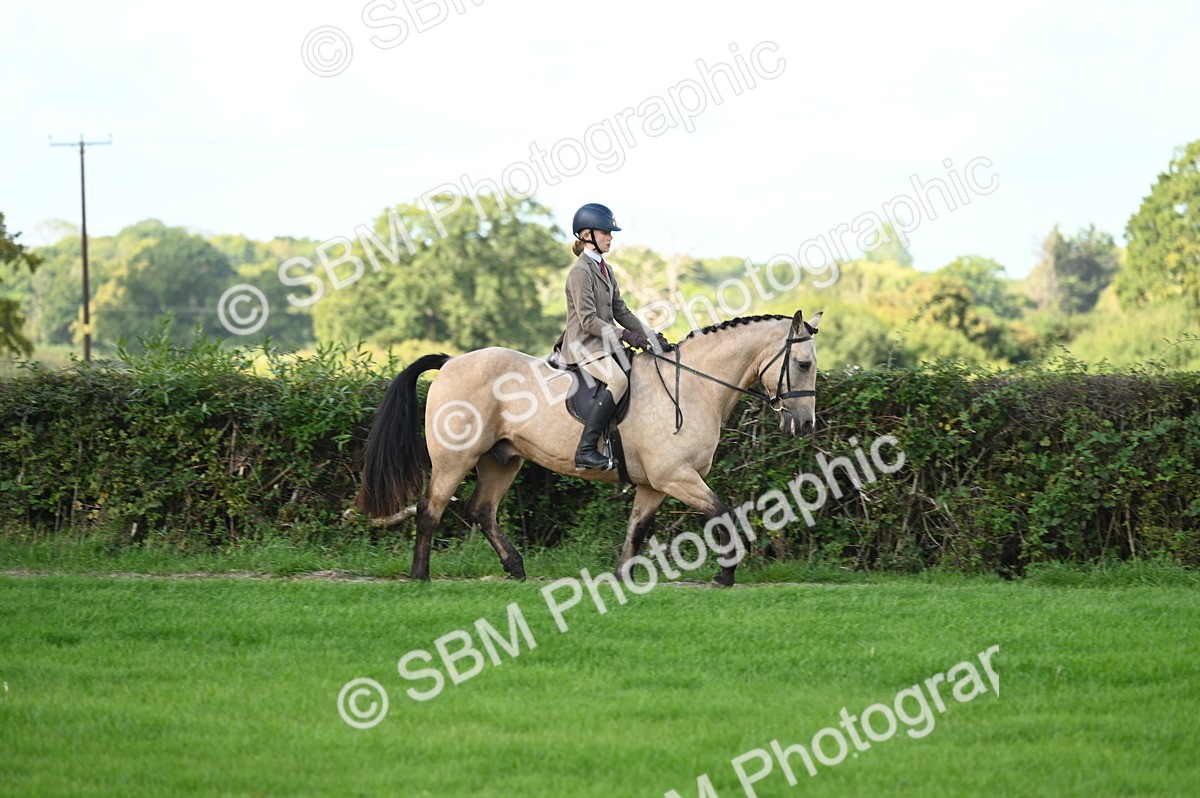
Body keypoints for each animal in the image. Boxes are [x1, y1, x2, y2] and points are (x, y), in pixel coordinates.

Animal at [355, 310, 822, 586]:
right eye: (803, 364)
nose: (805, 424)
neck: (692, 386)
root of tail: (452, 362)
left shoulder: (654, 484)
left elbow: (638, 528)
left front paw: (622, 577)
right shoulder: (677, 477)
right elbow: (723, 512)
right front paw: (725, 575)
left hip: (502, 460)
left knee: (481, 510)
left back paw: (515, 568)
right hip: (456, 458)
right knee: (430, 509)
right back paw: (420, 576)